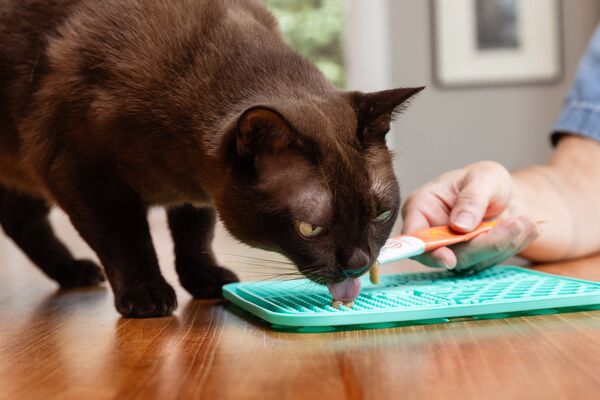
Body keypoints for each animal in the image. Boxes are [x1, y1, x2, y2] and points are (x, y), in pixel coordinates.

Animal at [0, 0, 424, 318]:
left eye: (381, 214)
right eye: (310, 229)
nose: (358, 262)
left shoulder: (197, 193)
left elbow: (194, 237)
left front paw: (207, 281)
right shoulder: (86, 177)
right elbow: (127, 241)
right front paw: (148, 297)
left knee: (20, 219)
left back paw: (74, 273)